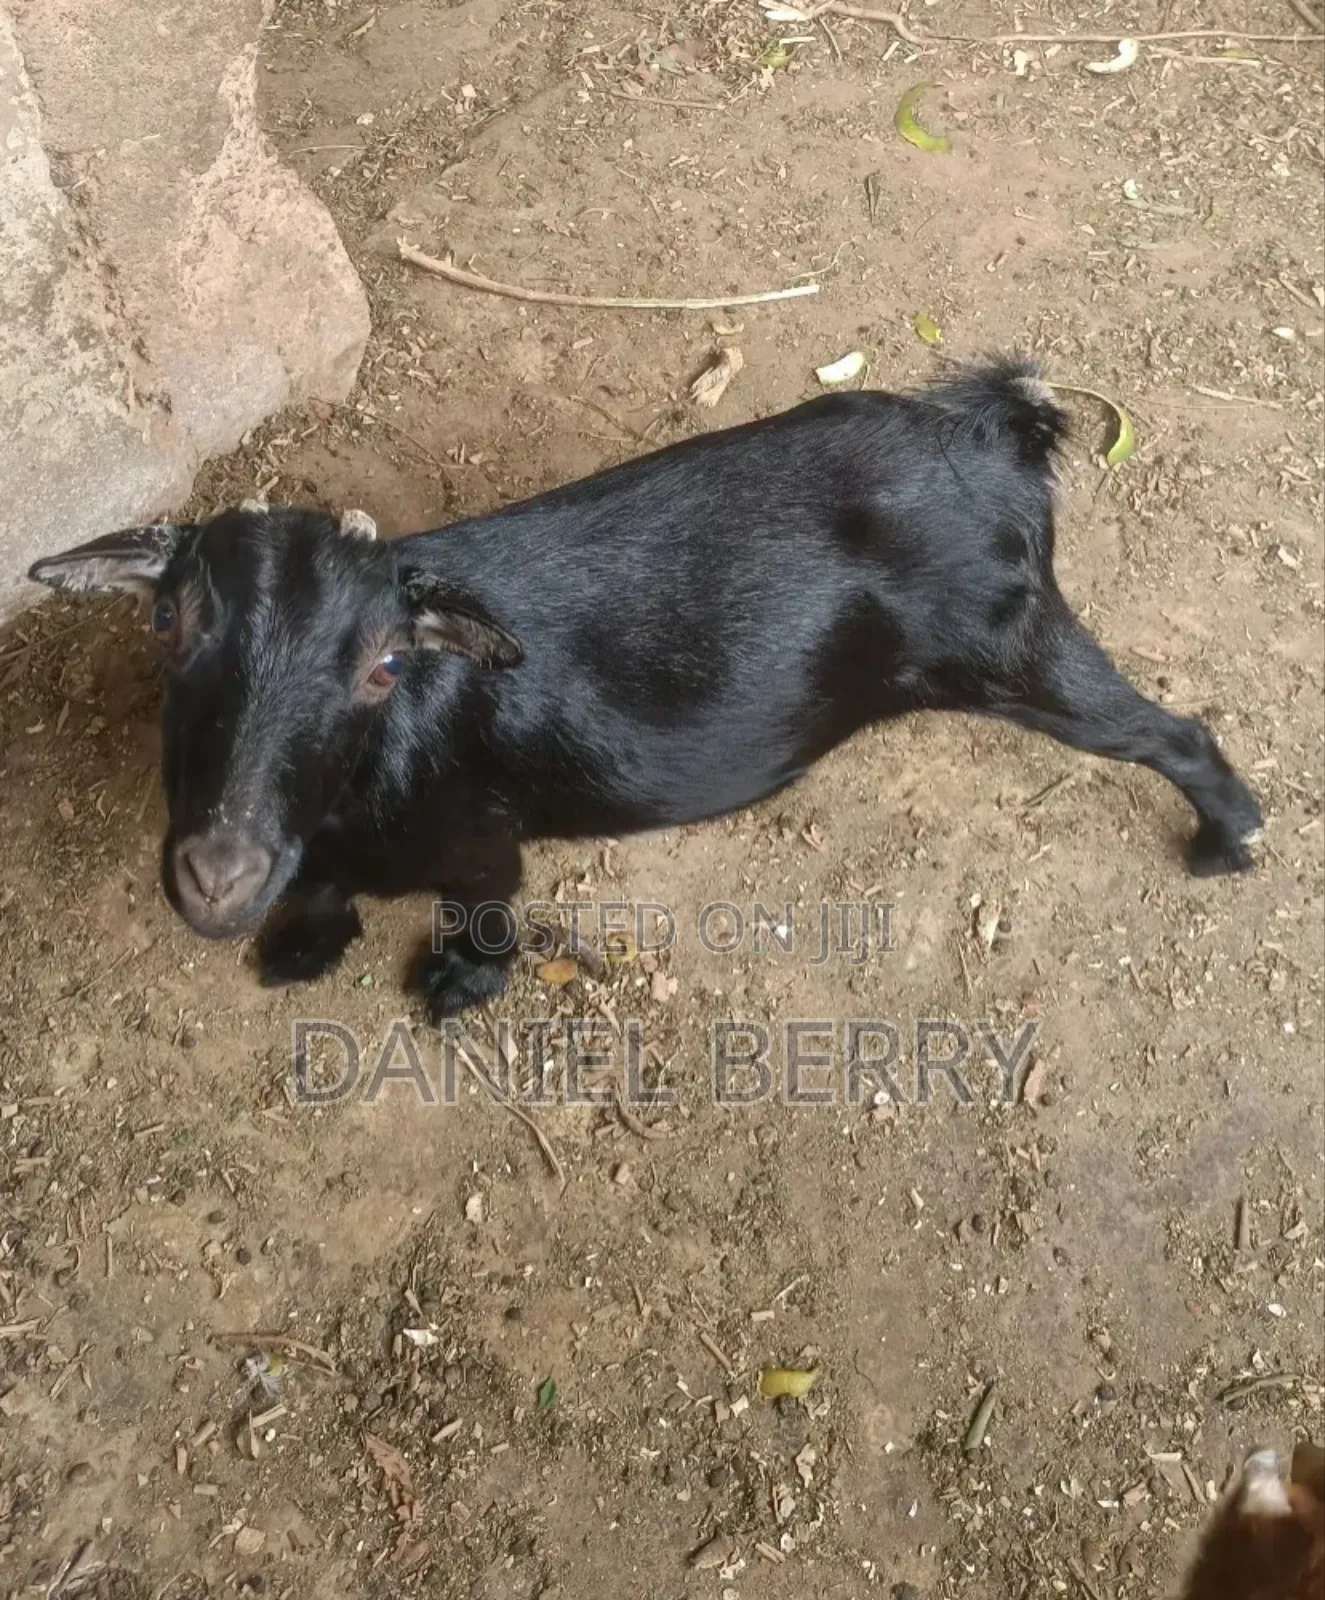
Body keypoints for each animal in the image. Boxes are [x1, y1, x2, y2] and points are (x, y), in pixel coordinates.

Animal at [28, 360, 1262, 1017]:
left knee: (1172, 730)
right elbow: (320, 891)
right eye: (171, 623)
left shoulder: (482, 841)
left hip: (1018, 653)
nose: (218, 876)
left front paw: (455, 987)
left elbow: (484, 910)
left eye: (385, 662)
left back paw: (1227, 838)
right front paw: (294, 946)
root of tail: (998, 431)